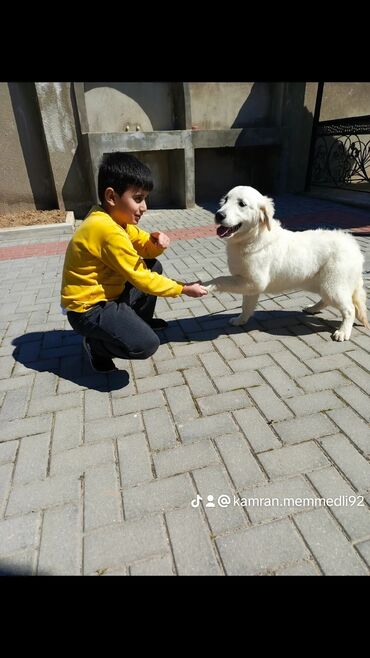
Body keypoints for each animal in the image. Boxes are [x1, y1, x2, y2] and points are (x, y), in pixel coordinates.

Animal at [204, 183, 368, 340]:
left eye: (242, 204)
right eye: (226, 200)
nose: (219, 215)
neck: (253, 237)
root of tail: (353, 245)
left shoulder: (255, 281)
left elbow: (222, 279)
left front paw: (206, 285)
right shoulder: (251, 285)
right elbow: (246, 306)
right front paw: (240, 320)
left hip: (332, 285)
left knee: (350, 309)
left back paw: (343, 332)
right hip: (320, 283)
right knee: (327, 300)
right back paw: (312, 309)